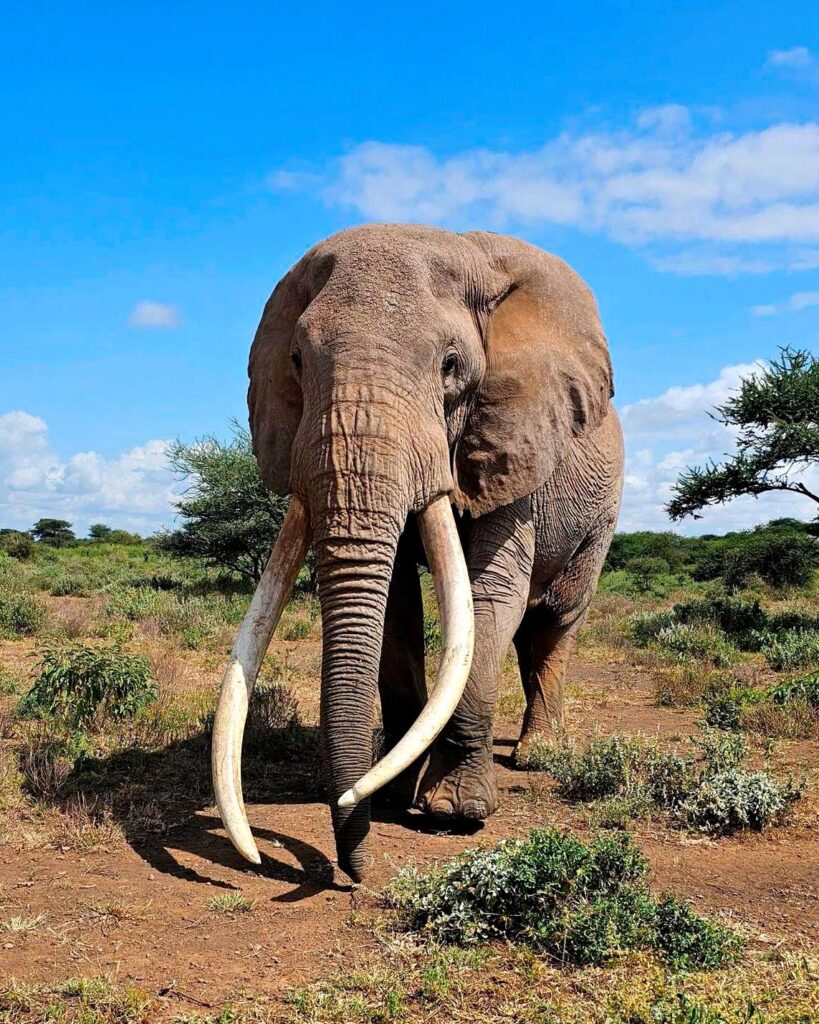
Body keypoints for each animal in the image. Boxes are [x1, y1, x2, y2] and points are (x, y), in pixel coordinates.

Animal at [211, 223, 624, 883]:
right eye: (296, 361)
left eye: (452, 366)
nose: (353, 874)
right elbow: (398, 603)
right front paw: (388, 798)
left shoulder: (510, 439)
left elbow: (489, 595)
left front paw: (454, 813)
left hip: (601, 514)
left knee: (552, 622)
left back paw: (536, 756)